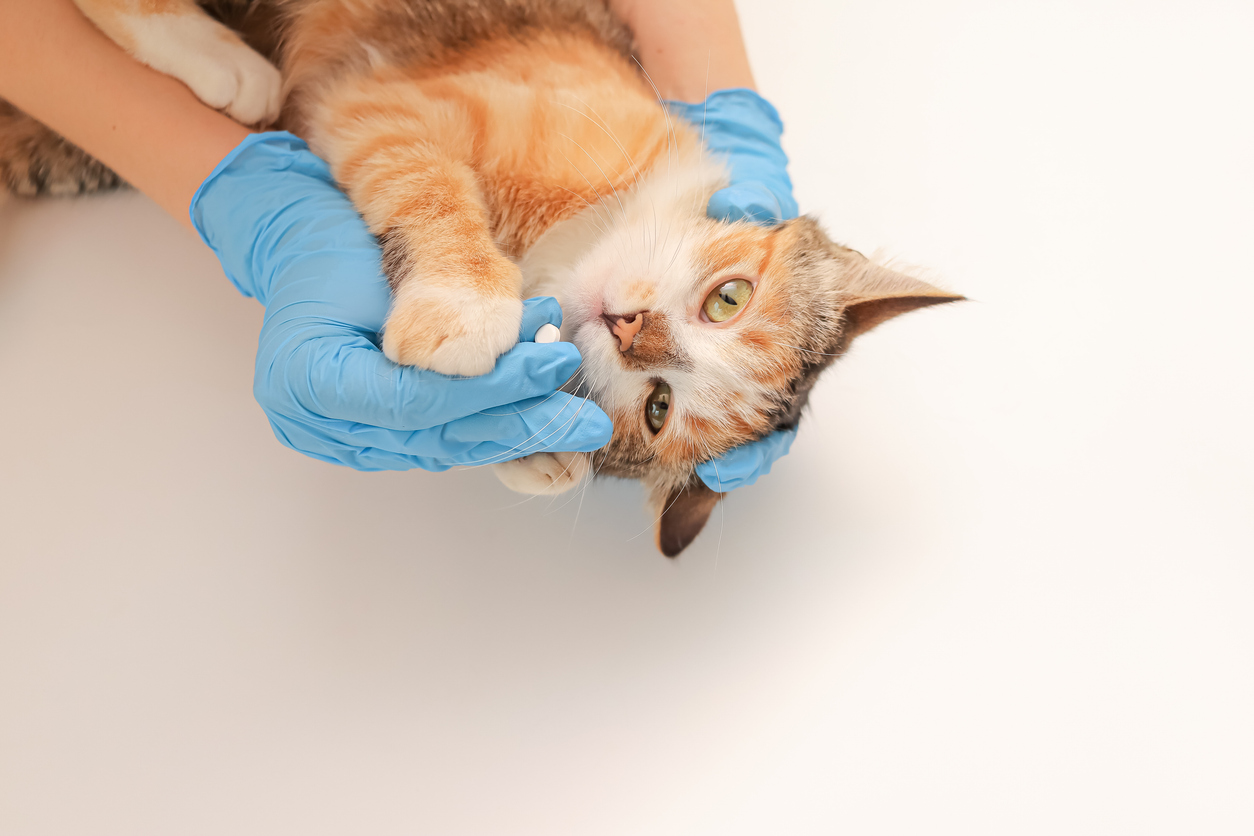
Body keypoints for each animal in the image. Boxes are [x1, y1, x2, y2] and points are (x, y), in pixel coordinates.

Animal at [0, 1, 968, 561]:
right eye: (728, 299)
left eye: (657, 408)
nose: (630, 328)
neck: (555, 242)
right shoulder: (395, 104)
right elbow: (428, 184)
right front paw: (464, 305)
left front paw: (536, 455)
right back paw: (217, 60)